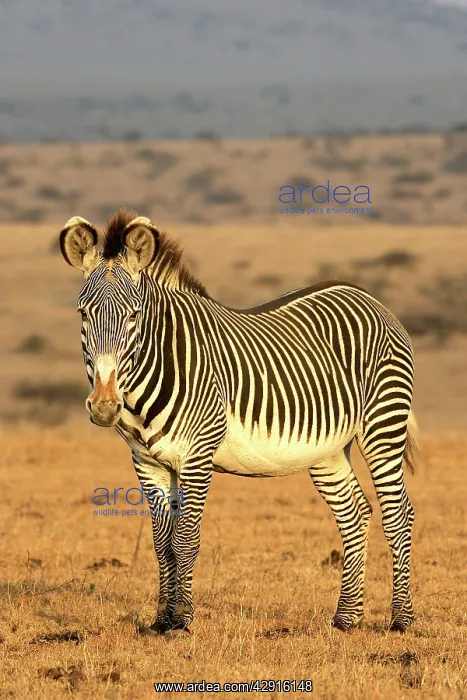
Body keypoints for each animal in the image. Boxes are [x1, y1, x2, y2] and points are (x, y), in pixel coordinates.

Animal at [59, 209, 417, 635]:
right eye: (83, 314)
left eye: (134, 316)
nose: (103, 406)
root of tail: (367, 297)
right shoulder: (146, 462)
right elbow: (161, 542)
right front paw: (161, 619)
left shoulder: (198, 455)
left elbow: (185, 538)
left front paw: (183, 620)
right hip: (327, 449)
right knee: (355, 513)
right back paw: (346, 617)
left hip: (383, 423)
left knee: (399, 514)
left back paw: (401, 618)